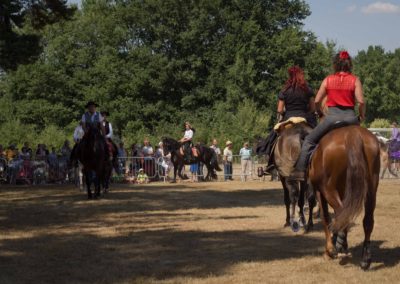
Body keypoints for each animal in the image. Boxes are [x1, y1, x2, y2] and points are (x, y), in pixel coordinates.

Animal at [308, 125, 380, 270]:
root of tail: (353, 133)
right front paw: (340, 244)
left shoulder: (320, 192)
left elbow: (326, 217)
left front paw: (331, 249)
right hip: (371, 189)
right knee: (367, 219)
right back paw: (365, 259)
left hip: (328, 189)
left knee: (342, 215)